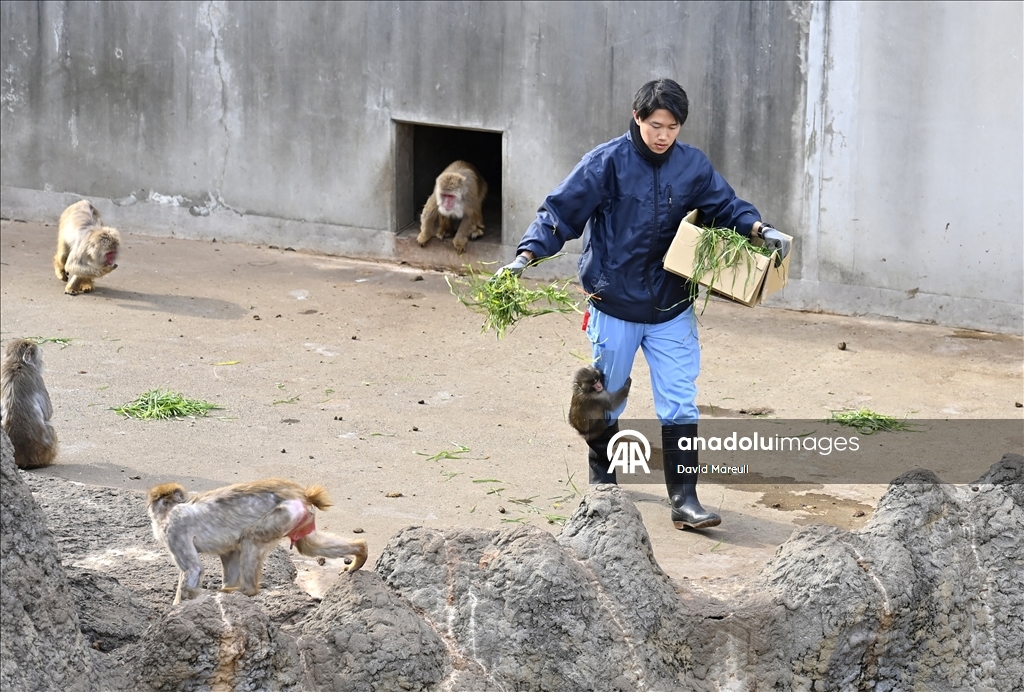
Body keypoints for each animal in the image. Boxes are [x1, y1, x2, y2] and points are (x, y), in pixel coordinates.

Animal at [0, 339, 58, 469]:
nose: (42, 363)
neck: (16, 362)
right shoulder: (37, 378)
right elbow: (48, 412)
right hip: (47, 450)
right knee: (50, 427)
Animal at [147, 478, 368, 604]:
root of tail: (301, 493)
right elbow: (230, 555)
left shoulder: (174, 529)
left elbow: (193, 570)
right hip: (298, 518)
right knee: (310, 546)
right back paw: (360, 550)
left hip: (284, 513)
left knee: (250, 538)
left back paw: (247, 590)